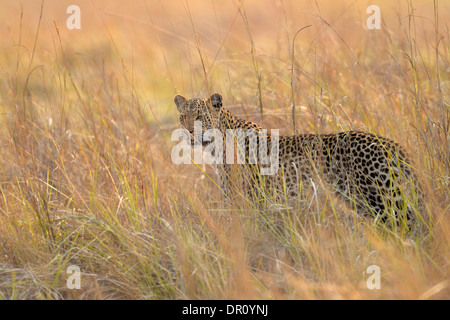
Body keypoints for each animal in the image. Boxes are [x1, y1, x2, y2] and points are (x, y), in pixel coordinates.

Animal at [173, 92, 422, 230]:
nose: (188, 132)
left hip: (382, 199)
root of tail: (393, 145)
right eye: (183, 116)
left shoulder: (251, 202)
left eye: (199, 117)